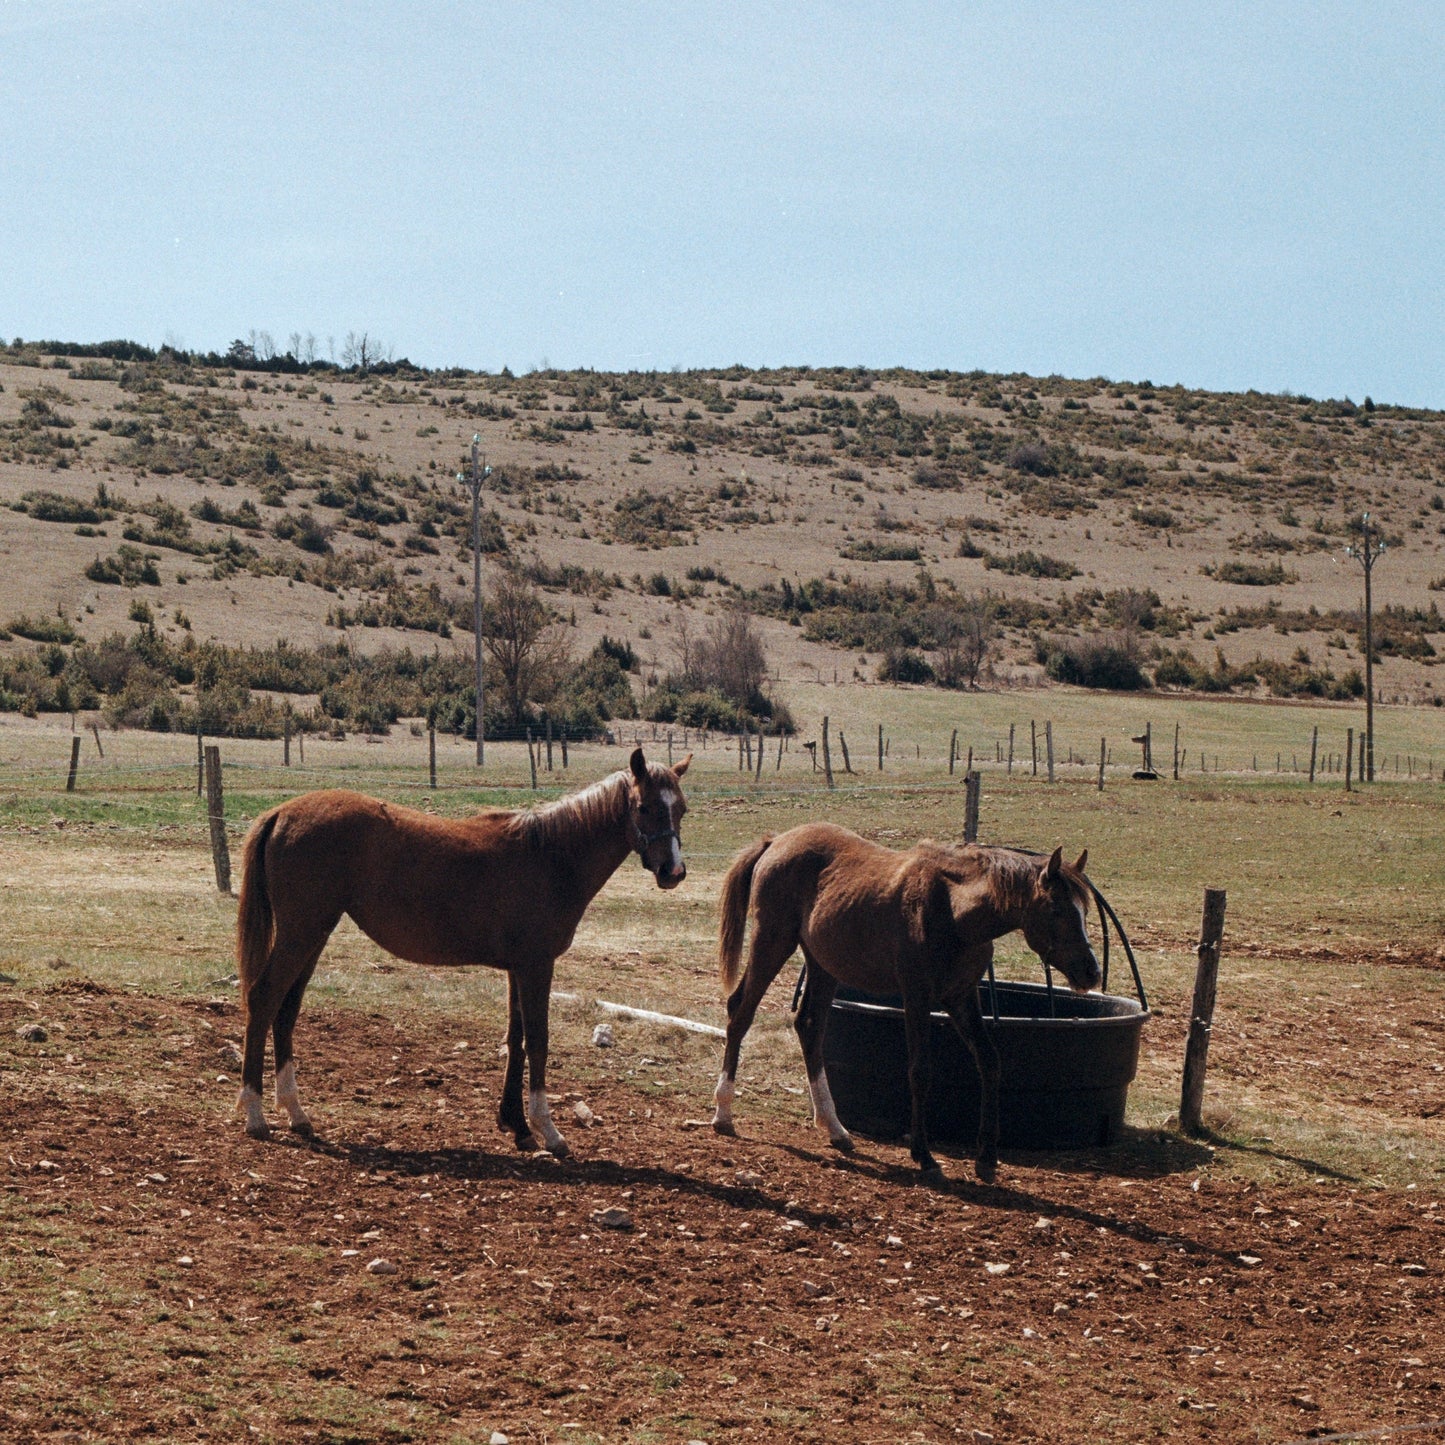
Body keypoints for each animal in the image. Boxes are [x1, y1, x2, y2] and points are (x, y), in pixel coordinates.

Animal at [235, 751, 687, 1156]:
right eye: (644, 807)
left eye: (680, 809)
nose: (674, 872)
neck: (550, 856)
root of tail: (281, 813)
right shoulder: (536, 966)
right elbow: (538, 1041)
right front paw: (548, 1130)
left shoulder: (517, 968)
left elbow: (516, 1039)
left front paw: (516, 1125)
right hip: (301, 934)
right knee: (264, 999)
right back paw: (255, 1114)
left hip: (314, 936)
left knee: (286, 1011)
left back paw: (296, 1113)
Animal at [713, 826, 1103, 1184]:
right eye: (1056, 909)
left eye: (1083, 910)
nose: (1091, 971)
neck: (954, 912)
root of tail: (775, 842)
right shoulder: (917, 996)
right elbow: (919, 1071)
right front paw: (924, 1155)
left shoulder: (962, 997)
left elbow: (989, 1062)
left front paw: (987, 1158)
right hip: (772, 942)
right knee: (740, 1013)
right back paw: (724, 1113)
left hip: (823, 964)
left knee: (809, 1026)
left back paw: (835, 1128)